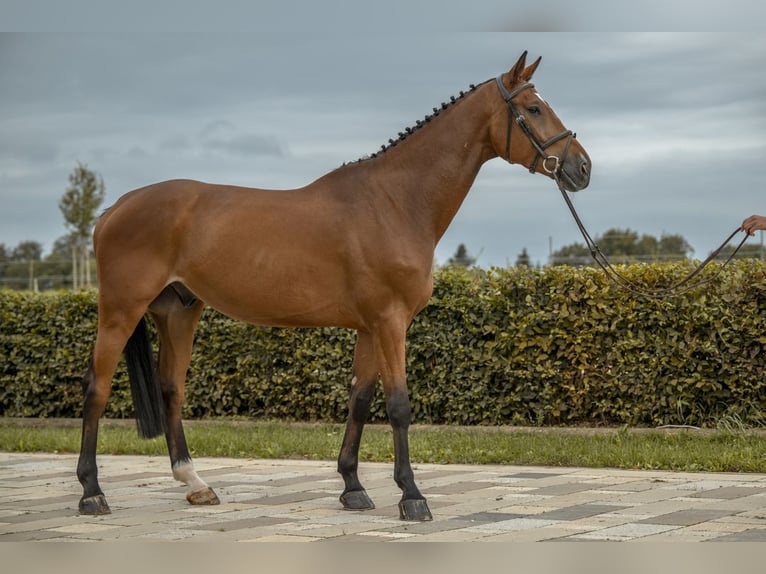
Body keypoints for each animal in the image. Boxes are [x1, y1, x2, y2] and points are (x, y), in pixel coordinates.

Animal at [78, 51, 592, 524]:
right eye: (532, 108)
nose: (582, 168)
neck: (395, 202)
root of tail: (115, 208)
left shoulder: (370, 327)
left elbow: (360, 401)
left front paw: (353, 487)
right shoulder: (390, 323)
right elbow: (399, 405)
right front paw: (412, 496)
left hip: (179, 311)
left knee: (172, 389)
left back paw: (195, 483)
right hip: (121, 310)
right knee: (96, 388)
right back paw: (92, 493)